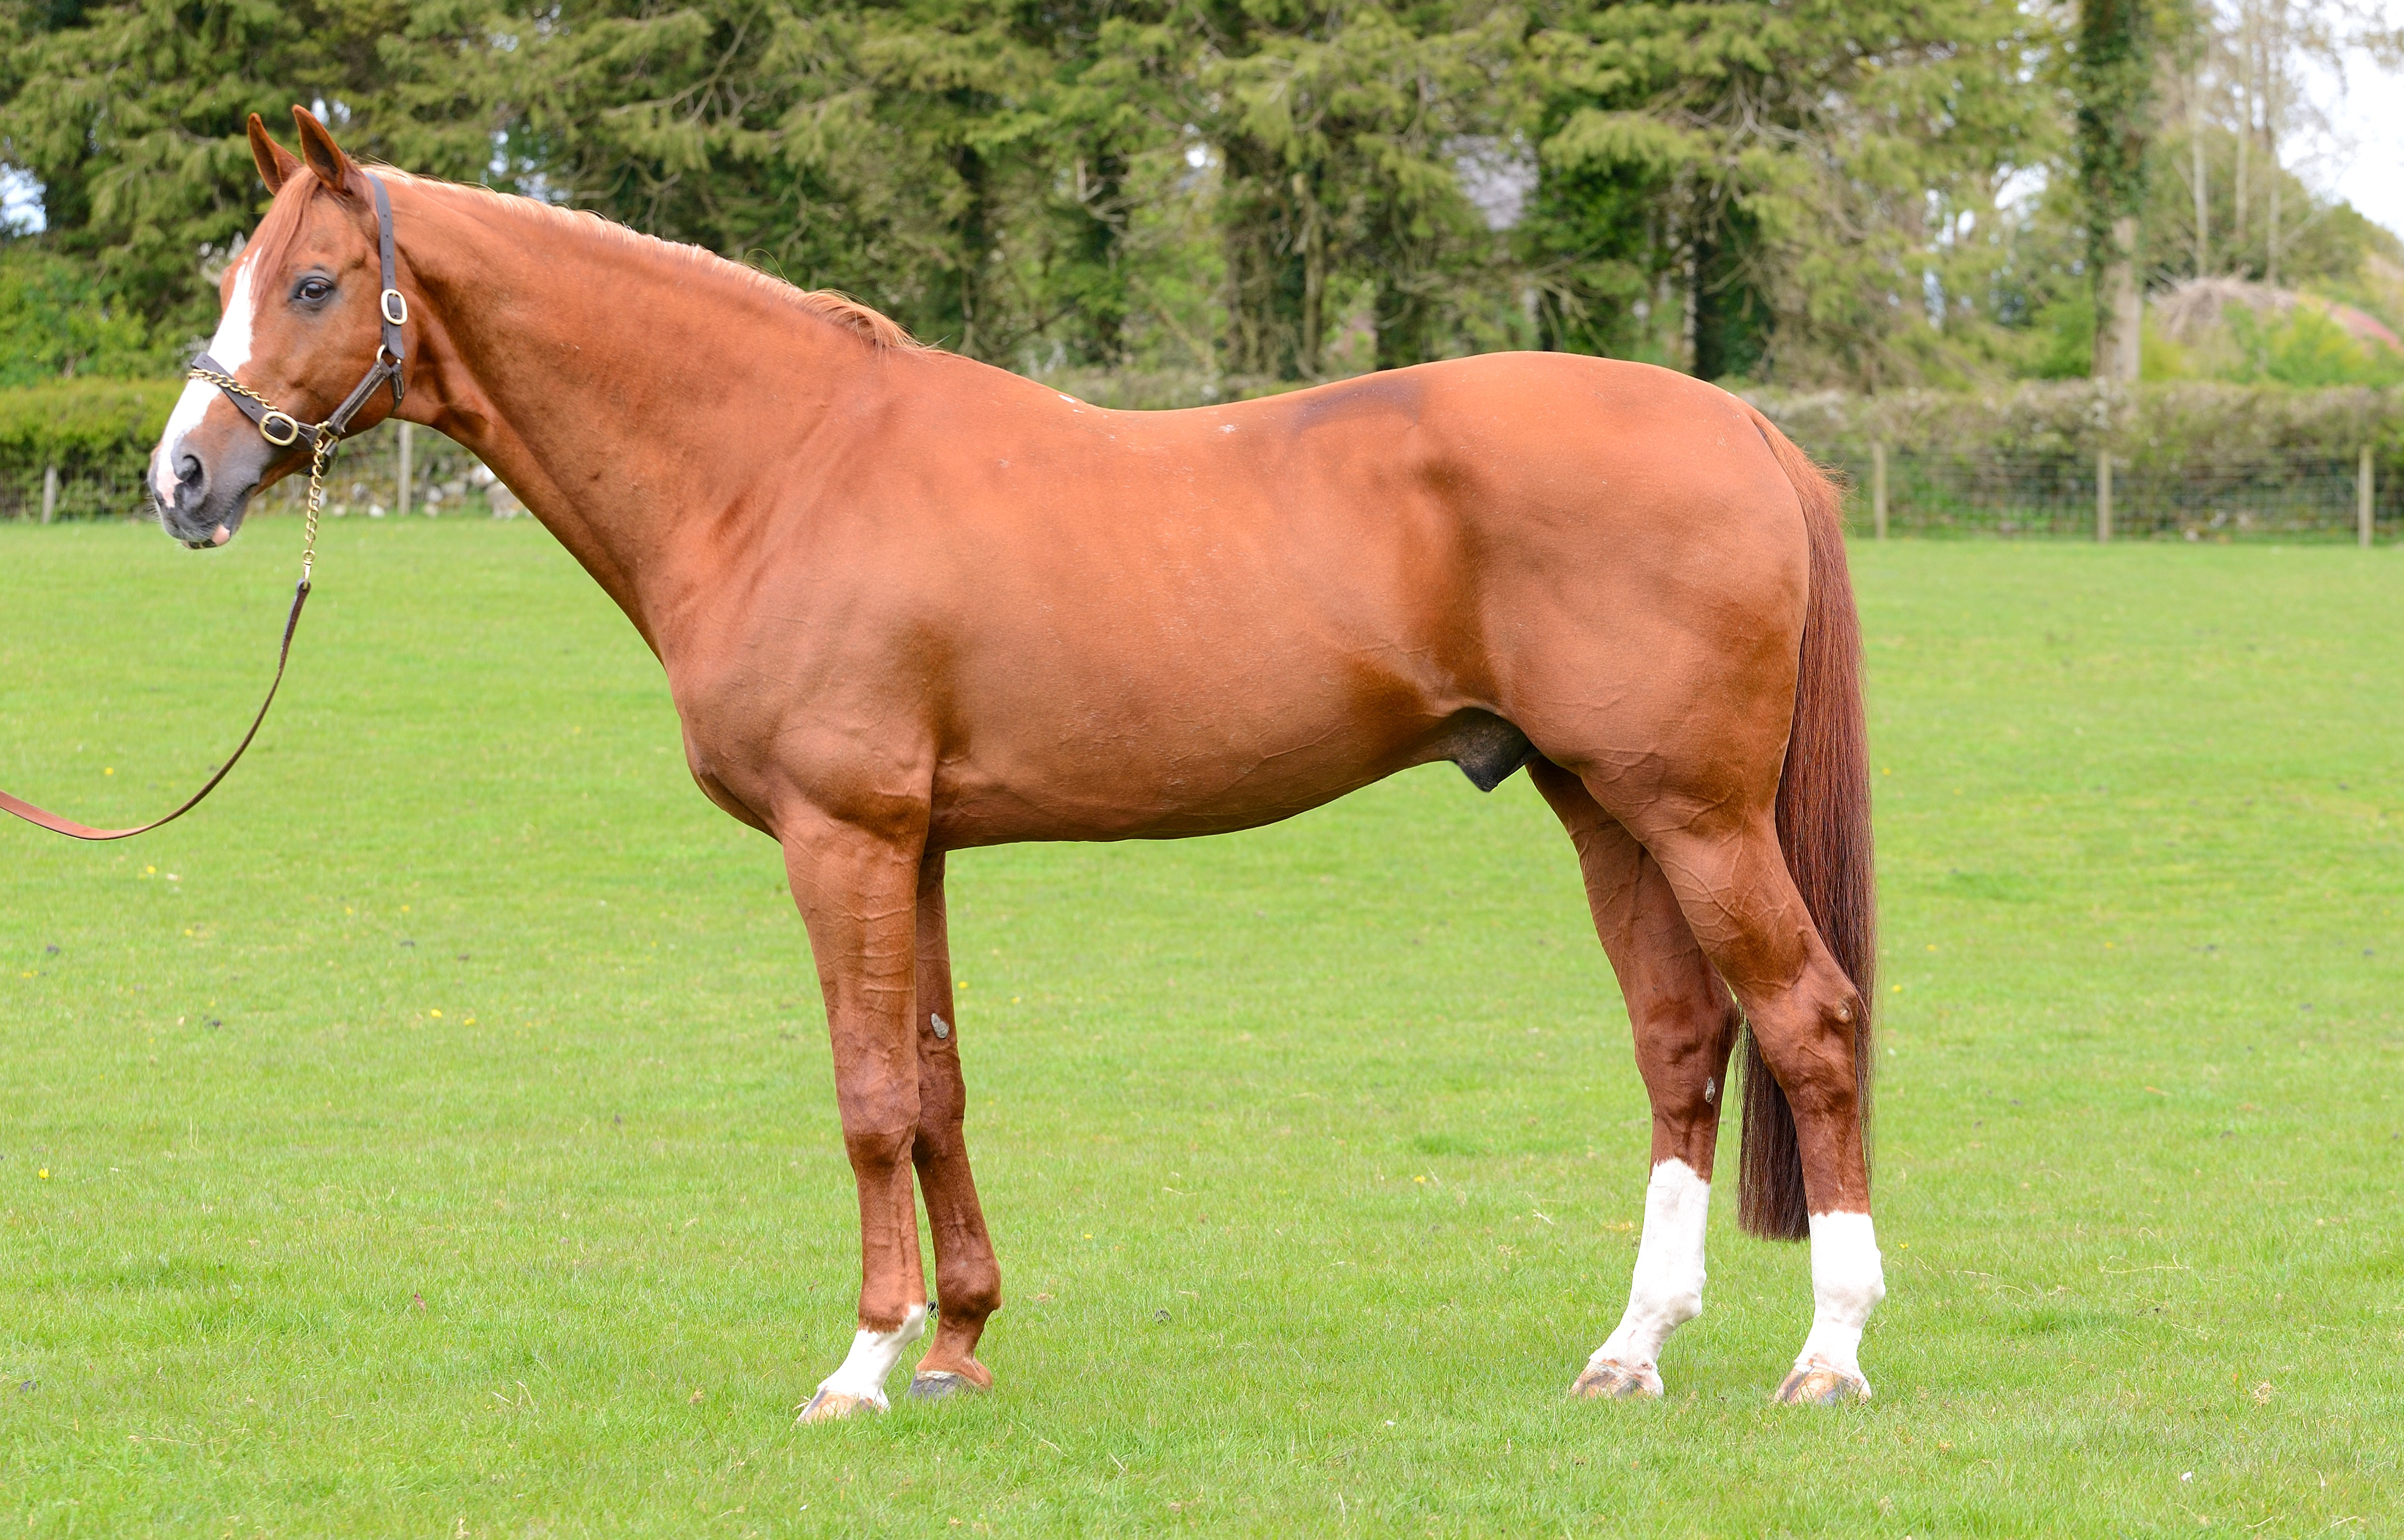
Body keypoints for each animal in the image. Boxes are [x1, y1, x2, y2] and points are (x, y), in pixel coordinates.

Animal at [147, 107, 1884, 1418]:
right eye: (235, 273)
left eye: (315, 283)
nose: (181, 478)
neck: (779, 465)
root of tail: (1743, 427)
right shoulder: (912, 843)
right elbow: (935, 1085)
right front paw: (960, 1340)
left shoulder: (840, 835)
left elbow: (865, 1095)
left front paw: (859, 1361)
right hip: (1604, 805)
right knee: (1680, 1040)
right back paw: (1630, 1347)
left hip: (1697, 813)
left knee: (1807, 1019)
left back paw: (1827, 1352)